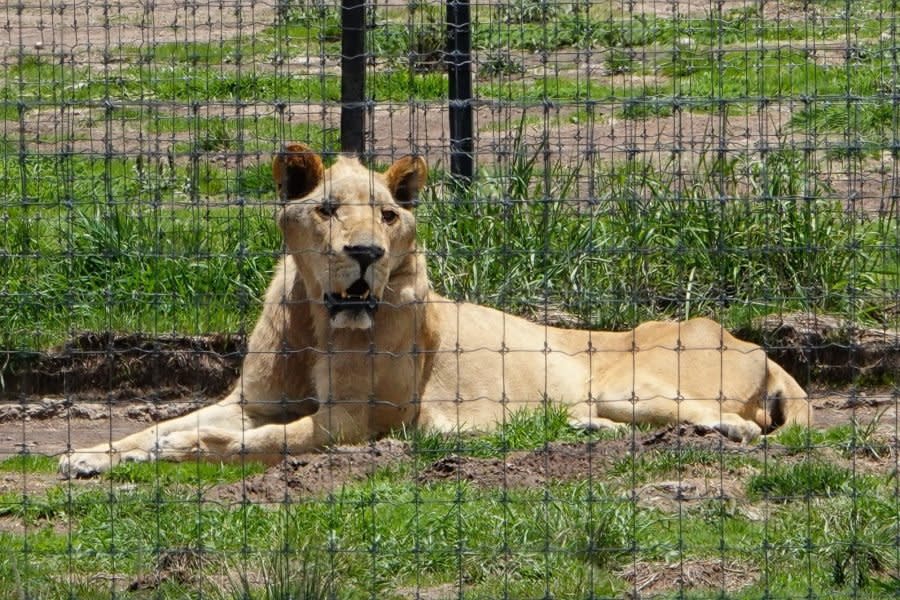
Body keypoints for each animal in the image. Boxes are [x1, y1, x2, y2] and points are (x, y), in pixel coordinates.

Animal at [59, 143, 812, 476]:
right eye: (327, 210)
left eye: (389, 216)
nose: (364, 252)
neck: (314, 323)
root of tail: (758, 345)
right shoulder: (253, 403)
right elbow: (166, 424)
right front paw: (89, 457)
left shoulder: (353, 424)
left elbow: (224, 442)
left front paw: (170, 452)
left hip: (631, 382)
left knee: (729, 422)